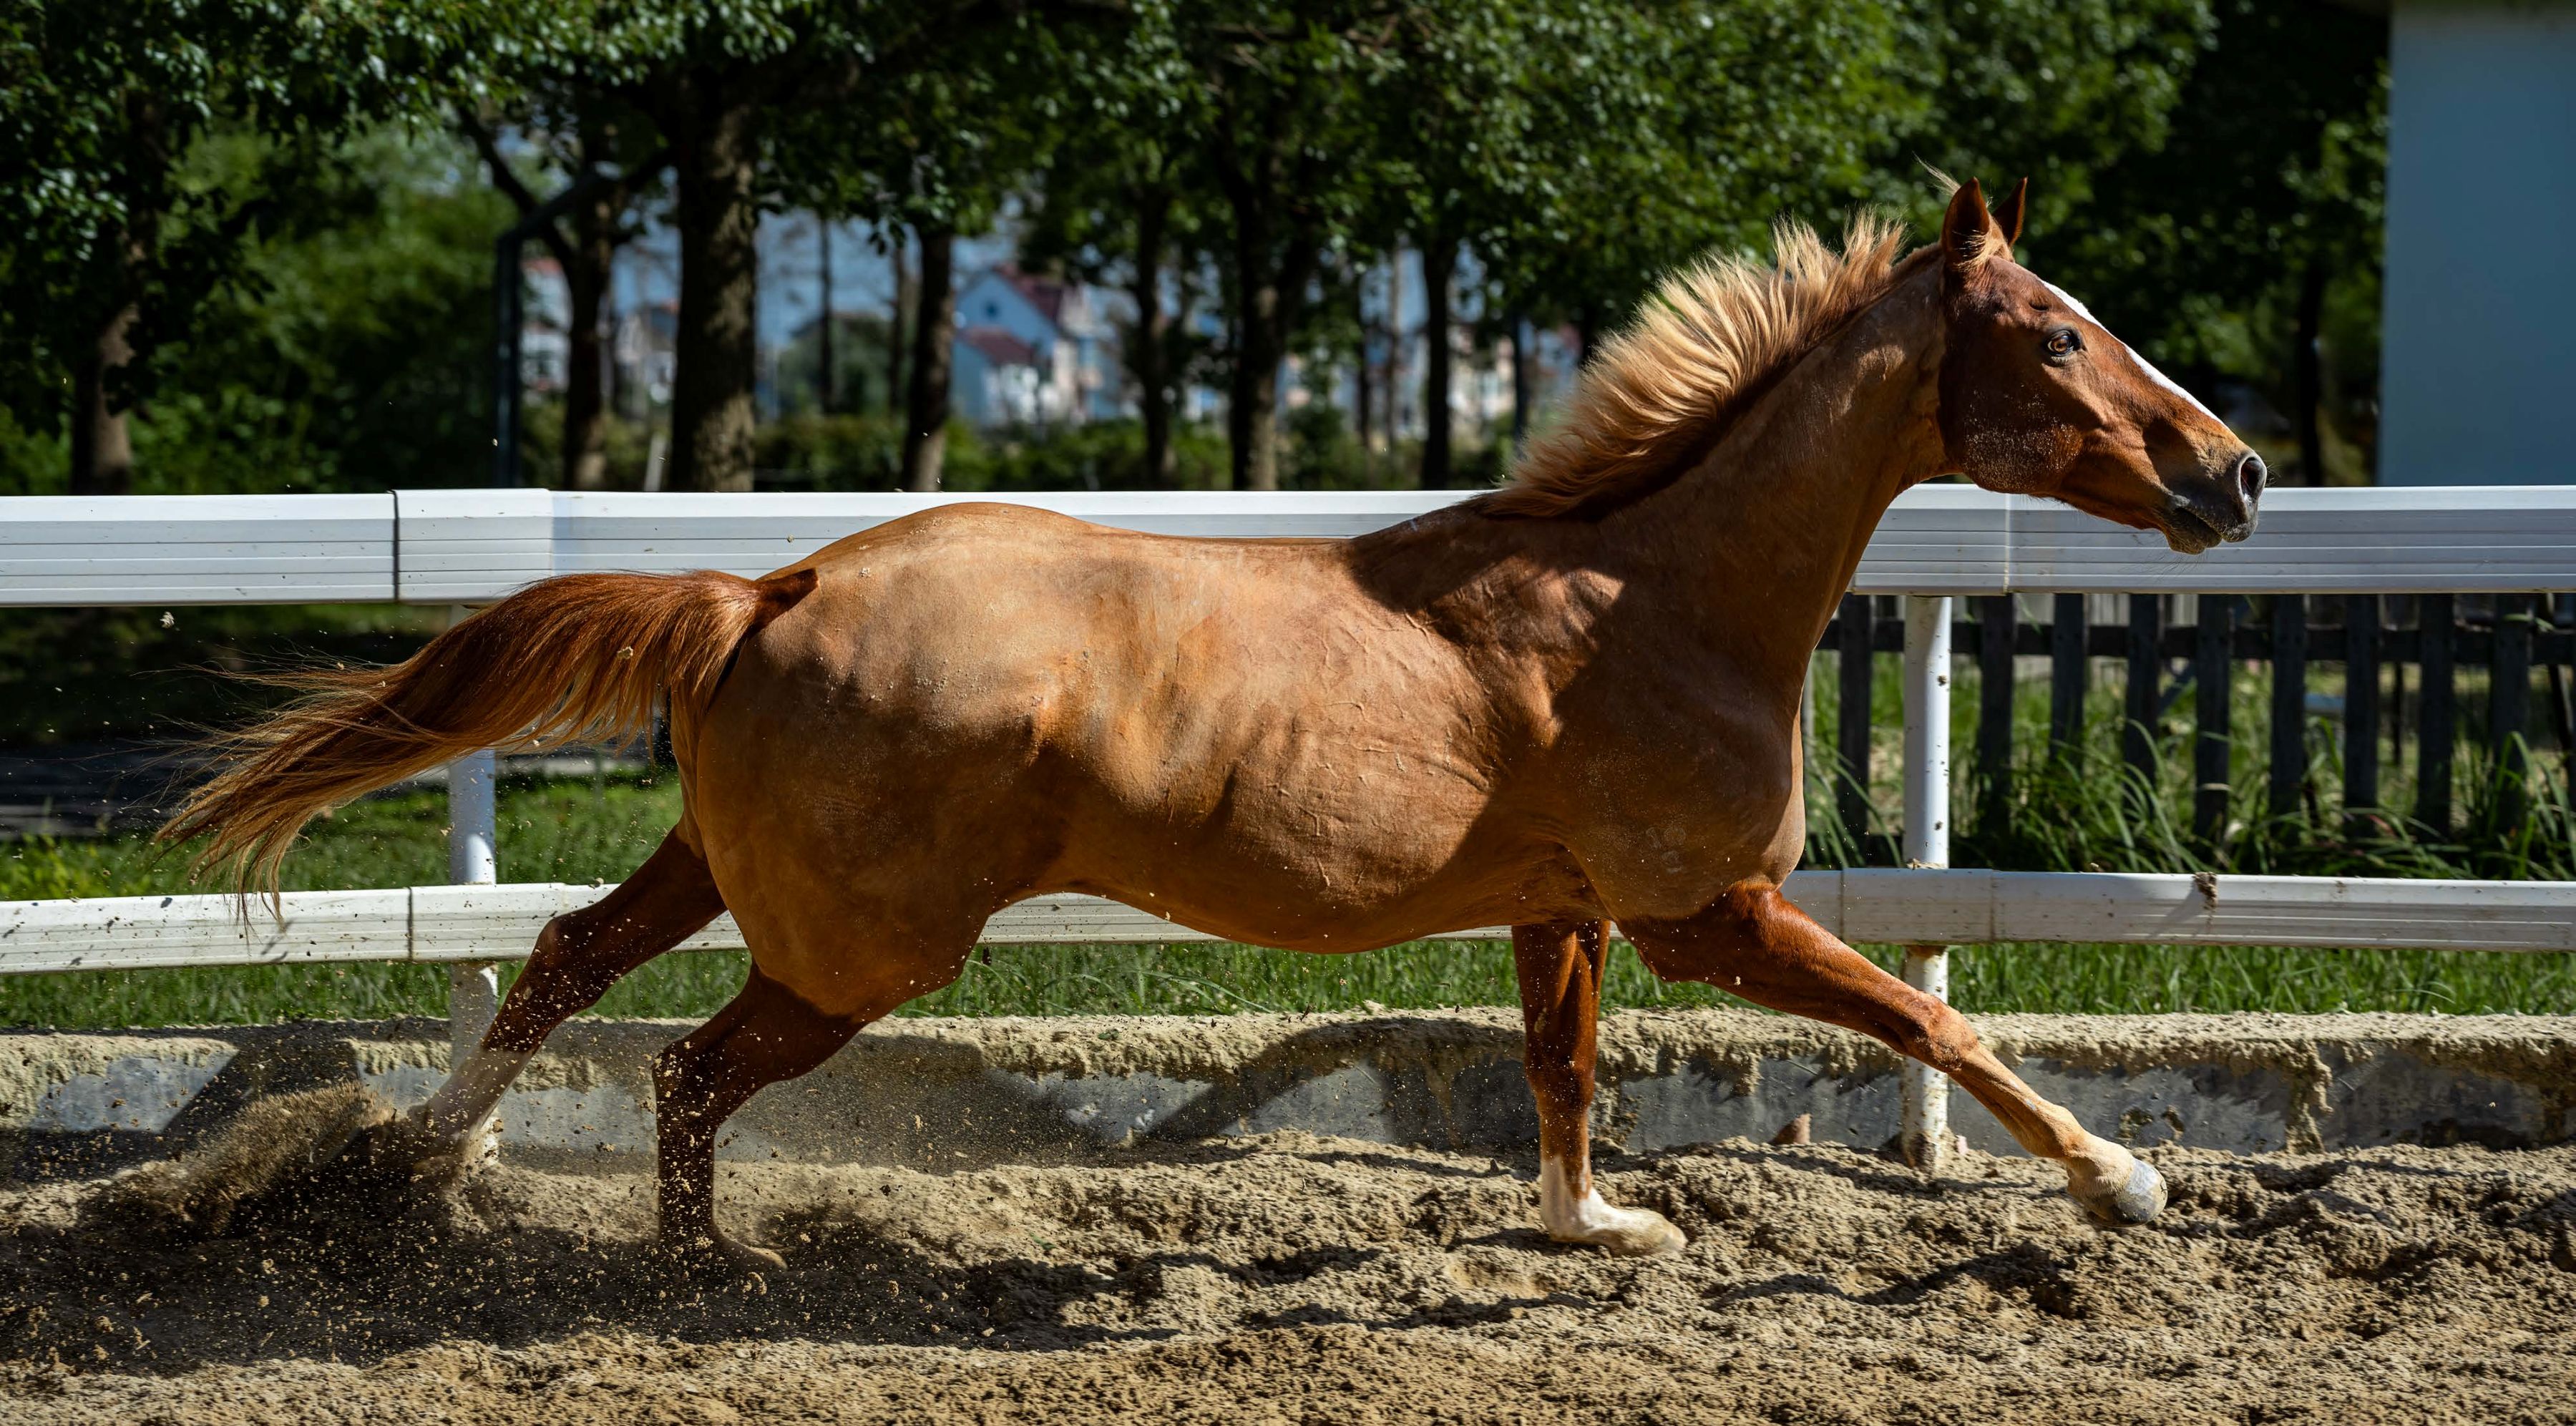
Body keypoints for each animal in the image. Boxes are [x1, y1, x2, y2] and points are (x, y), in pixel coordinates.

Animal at [167, 180, 2264, 1269]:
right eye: (2058, 330)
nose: (2233, 471)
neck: (1646, 602)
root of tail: (772, 590)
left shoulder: (1562, 907)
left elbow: (1564, 1074)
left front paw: (1598, 1230)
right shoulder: (1708, 912)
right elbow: (1933, 1016)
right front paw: (2125, 1177)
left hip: (722, 867)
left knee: (560, 958)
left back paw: (415, 1168)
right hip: (854, 948)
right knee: (683, 1067)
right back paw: (700, 1268)